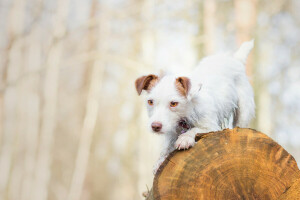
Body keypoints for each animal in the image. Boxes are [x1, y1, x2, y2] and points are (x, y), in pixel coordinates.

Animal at [135, 40, 254, 173]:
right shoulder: (171, 132)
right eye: (150, 101)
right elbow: (166, 147)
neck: (186, 113)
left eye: (173, 103)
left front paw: (185, 138)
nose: (155, 126)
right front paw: (160, 160)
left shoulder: (211, 127)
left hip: (244, 111)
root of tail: (235, 59)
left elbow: (195, 129)